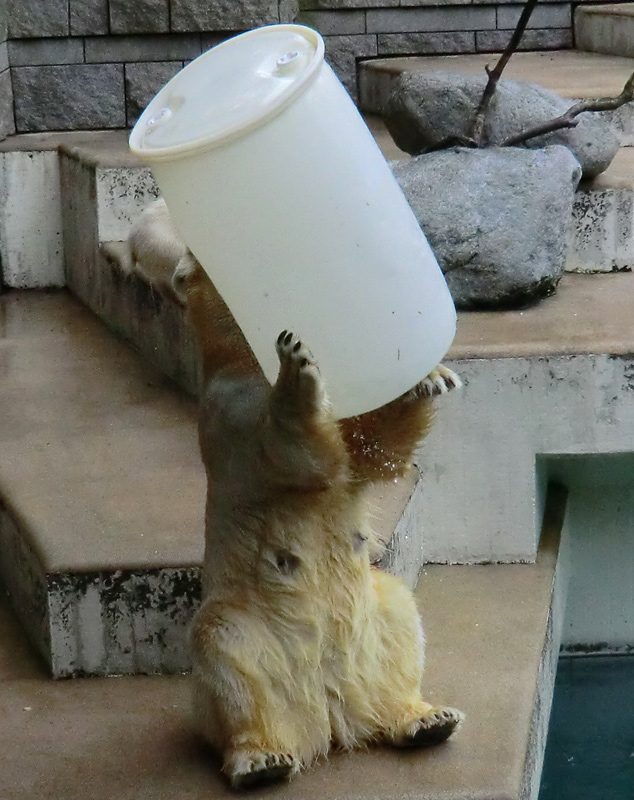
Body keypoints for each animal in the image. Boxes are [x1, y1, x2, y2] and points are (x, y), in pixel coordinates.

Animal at [123, 200, 462, 788]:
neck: (236, 357)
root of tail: (328, 712)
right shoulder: (228, 411)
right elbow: (300, 454)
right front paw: (296, 364)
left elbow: (366, 454)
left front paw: (428, 374)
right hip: (248, 626)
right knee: (227, 657)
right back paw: (261, 760)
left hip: (373, 622)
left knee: (398, 612)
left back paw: (424, 719)